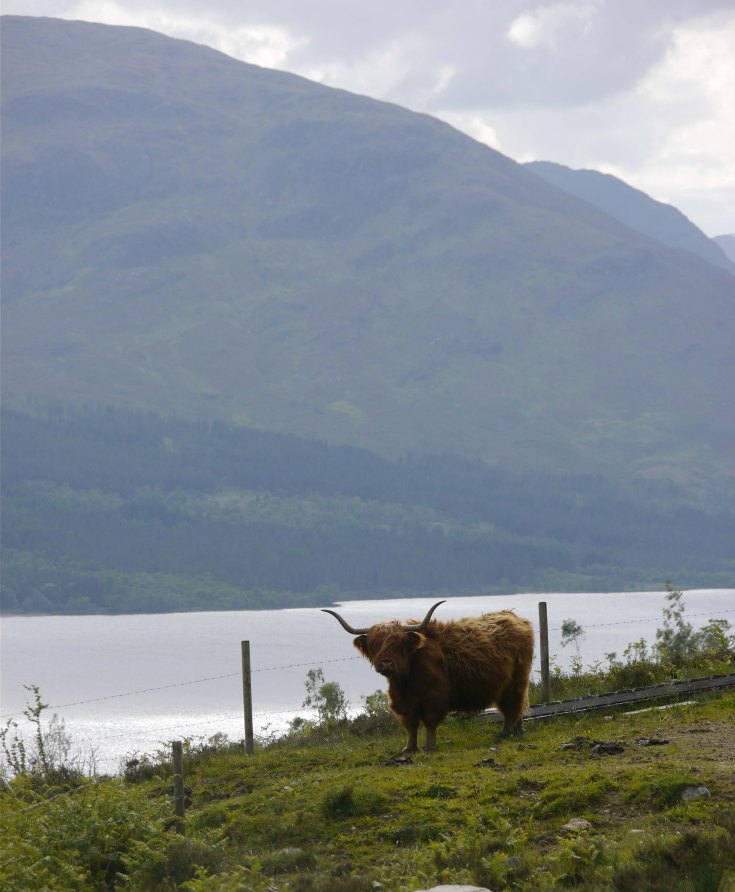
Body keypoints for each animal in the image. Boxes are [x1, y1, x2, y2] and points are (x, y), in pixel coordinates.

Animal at [322, 600, 535, 752]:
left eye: (398, 643)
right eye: (375, 644)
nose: (386, 664)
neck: (406, 680)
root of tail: (513, 616)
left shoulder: (434, 698)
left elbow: (430, 722)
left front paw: (430, 746)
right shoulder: (403, 702)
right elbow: (410, 725)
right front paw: (409, 748)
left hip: (516, 681)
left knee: (513, 707)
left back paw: (506, 733)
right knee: (516, 707)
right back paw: (517, 732)